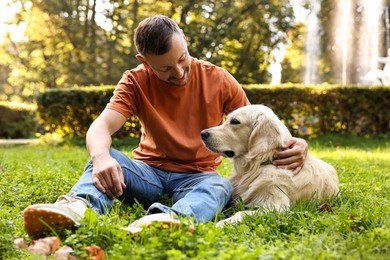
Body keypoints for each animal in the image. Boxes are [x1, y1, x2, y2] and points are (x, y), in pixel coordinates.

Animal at [201, 104, 338, 226]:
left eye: (235, 121)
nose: (203, 133)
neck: (259, 165)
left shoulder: (276, 207)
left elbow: (242, 213)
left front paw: (223, 222)